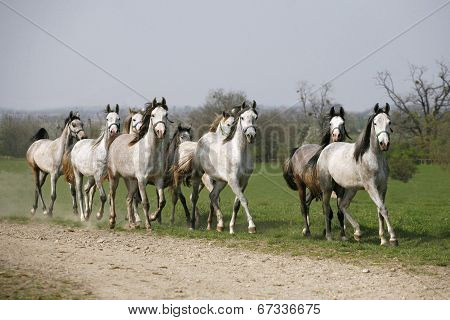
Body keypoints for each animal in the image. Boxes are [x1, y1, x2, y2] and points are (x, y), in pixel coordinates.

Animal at [107, 97, 171, 230]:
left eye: (166, 115)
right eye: (153, 115)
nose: (161, 132)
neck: (150, 152)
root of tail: (115, 139)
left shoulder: (158, 179)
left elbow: (162, 202)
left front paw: (152, 217)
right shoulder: (142, 180)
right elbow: (145, 202)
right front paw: (148, 225)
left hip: (132, 181)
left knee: (129, 198)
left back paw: (132, 224)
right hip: (114, 177)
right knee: (112, 195)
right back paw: (112, 221)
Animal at [181, 101, 256, 234]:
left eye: (255, 117)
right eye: (242, 117)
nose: (251, 135)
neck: (239, 152)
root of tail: (201, 141)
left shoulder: (243, 181)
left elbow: (237, 203)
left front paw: (231, 227)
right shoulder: (233, 180)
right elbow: (244, 200)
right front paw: (252, 226)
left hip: (221, 181)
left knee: (213, 196)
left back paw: (220, 225)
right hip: (198, 176)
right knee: (194, 197)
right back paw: (192, 225)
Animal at [282, 106, 352, 239]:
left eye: (343, 123)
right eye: (330, 123)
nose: (336, 135)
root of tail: (297, 150)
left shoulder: (340, 191)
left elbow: (340, 212)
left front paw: (343, 235)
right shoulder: (326, 190)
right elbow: (328, 212)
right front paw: (328, 234)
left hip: (312, 189)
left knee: (307, 203)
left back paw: (306, 230)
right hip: (301, 186)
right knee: (303, 206)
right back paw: (308, 232)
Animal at [316, 102, 398, 245]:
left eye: (389, 122)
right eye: (375, 123)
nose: (384, 144)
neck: (374, 157)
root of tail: (326, 149)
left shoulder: (382, 188)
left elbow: (380, 211)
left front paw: (383, 240)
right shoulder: (371, 187)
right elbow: (383, 209)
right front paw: (393, 239)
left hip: (350, 189)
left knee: (342, 206)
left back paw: (357, 233)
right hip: (327, 188)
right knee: (327, 208)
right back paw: (329, 236)